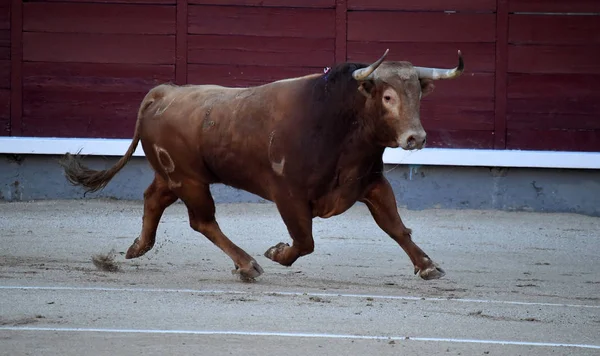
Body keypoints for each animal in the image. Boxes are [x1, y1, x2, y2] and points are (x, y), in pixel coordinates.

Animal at [61, 50, 464, 282]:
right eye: (388, 96)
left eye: (418, 94)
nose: (416, 138)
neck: (336, 121)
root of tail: (163, 92)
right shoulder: (288, 195)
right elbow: (304, 241)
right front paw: (277, 254)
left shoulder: (371, 184)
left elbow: (396, 227)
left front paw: (427, 265)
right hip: (189, 179)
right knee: (202, 220)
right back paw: (247, 265)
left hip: (172, 174)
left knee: (153, 198)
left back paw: (137, 247)